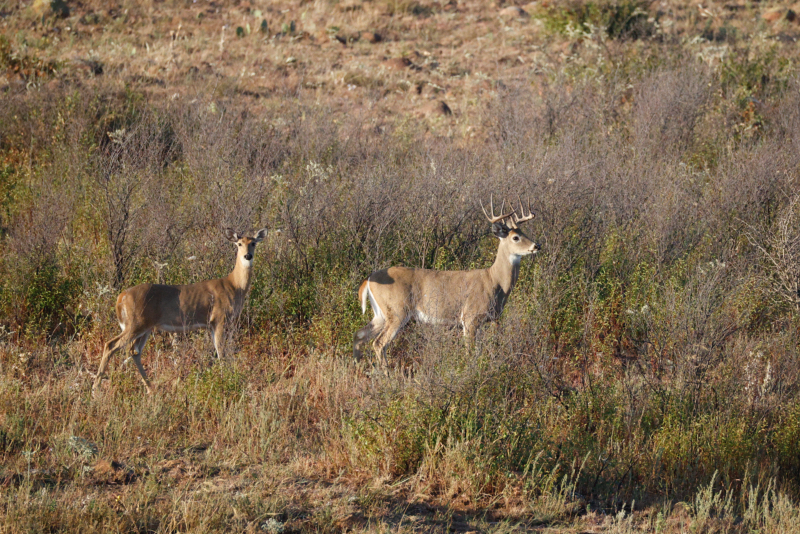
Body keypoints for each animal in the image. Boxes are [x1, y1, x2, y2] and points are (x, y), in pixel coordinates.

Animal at [93, 228, 268, 396]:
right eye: (239, 243)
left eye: (253, 243)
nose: (247, 255)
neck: (233, 286)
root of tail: (121, 297)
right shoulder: (219, 318)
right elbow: (221, 351)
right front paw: (225, 379)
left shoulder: (213, 324)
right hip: (136, 323)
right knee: (111, 345)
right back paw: (96, 389)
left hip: (146, 327)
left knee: (134, 351)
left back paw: (151, 388)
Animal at [354, 198, 540, 368]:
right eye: (515, 237)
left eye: (525, 232)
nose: (536, 245)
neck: (495, 281)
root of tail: (368, 280)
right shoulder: (470, 317)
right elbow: (470, 353)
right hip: (397, 310)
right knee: (379, 343)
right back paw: (387, 375)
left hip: (380, 314)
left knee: (359, 335)